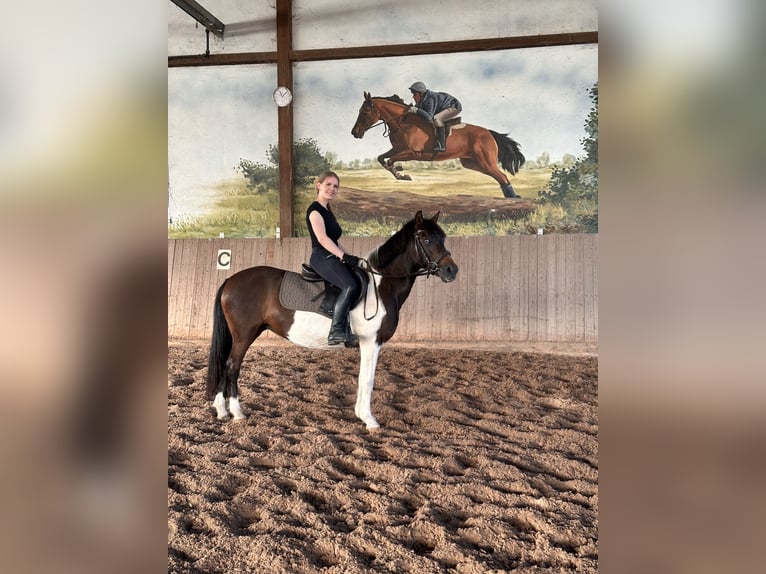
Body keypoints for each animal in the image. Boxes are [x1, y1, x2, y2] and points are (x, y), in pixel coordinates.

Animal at [206, 211, 458, 430]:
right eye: (426, 239)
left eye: (443, 238)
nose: (451, 270)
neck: (380, 285)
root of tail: (230, 280)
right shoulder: (372, 341)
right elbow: (368, 380)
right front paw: (370, 420)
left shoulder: (369, 343)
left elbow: (362, 378)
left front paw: (360, 414)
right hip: (244, 335)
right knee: (231, 366)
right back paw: (236, 412)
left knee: (225, 365)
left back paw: (222, 411)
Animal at [351, 92, 526, 198]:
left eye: (365, 112)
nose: (354, 133)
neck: (402, 122)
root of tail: (489, 133)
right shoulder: (397, 149)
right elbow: (382, 158)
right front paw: (400, 172)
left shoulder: (411, 152)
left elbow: (389, 160)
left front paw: (401, 173)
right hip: (473, 163)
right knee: (500, 178)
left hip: (485, 162)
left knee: (502, 176)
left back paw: (513, 198)